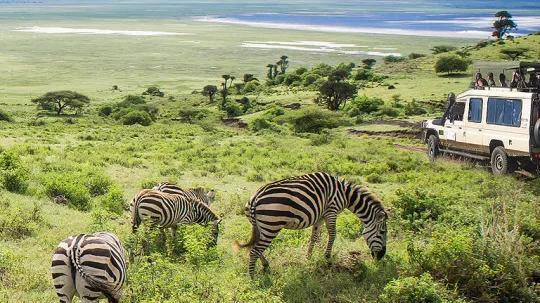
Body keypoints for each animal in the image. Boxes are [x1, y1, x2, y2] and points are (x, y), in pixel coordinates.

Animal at [236, 172, 388, 280]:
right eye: (382, 233)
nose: (381, 257)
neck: (345, 194)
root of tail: (255, 198)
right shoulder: (331, 211)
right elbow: (333, 235)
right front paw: (327, 258)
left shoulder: (320, 216)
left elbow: (314, 237)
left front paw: (308, 257)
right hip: (271, 226)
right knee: (254, 251)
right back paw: (253, 279)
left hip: (261, 227)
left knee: (256, 248)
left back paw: (265, 266)